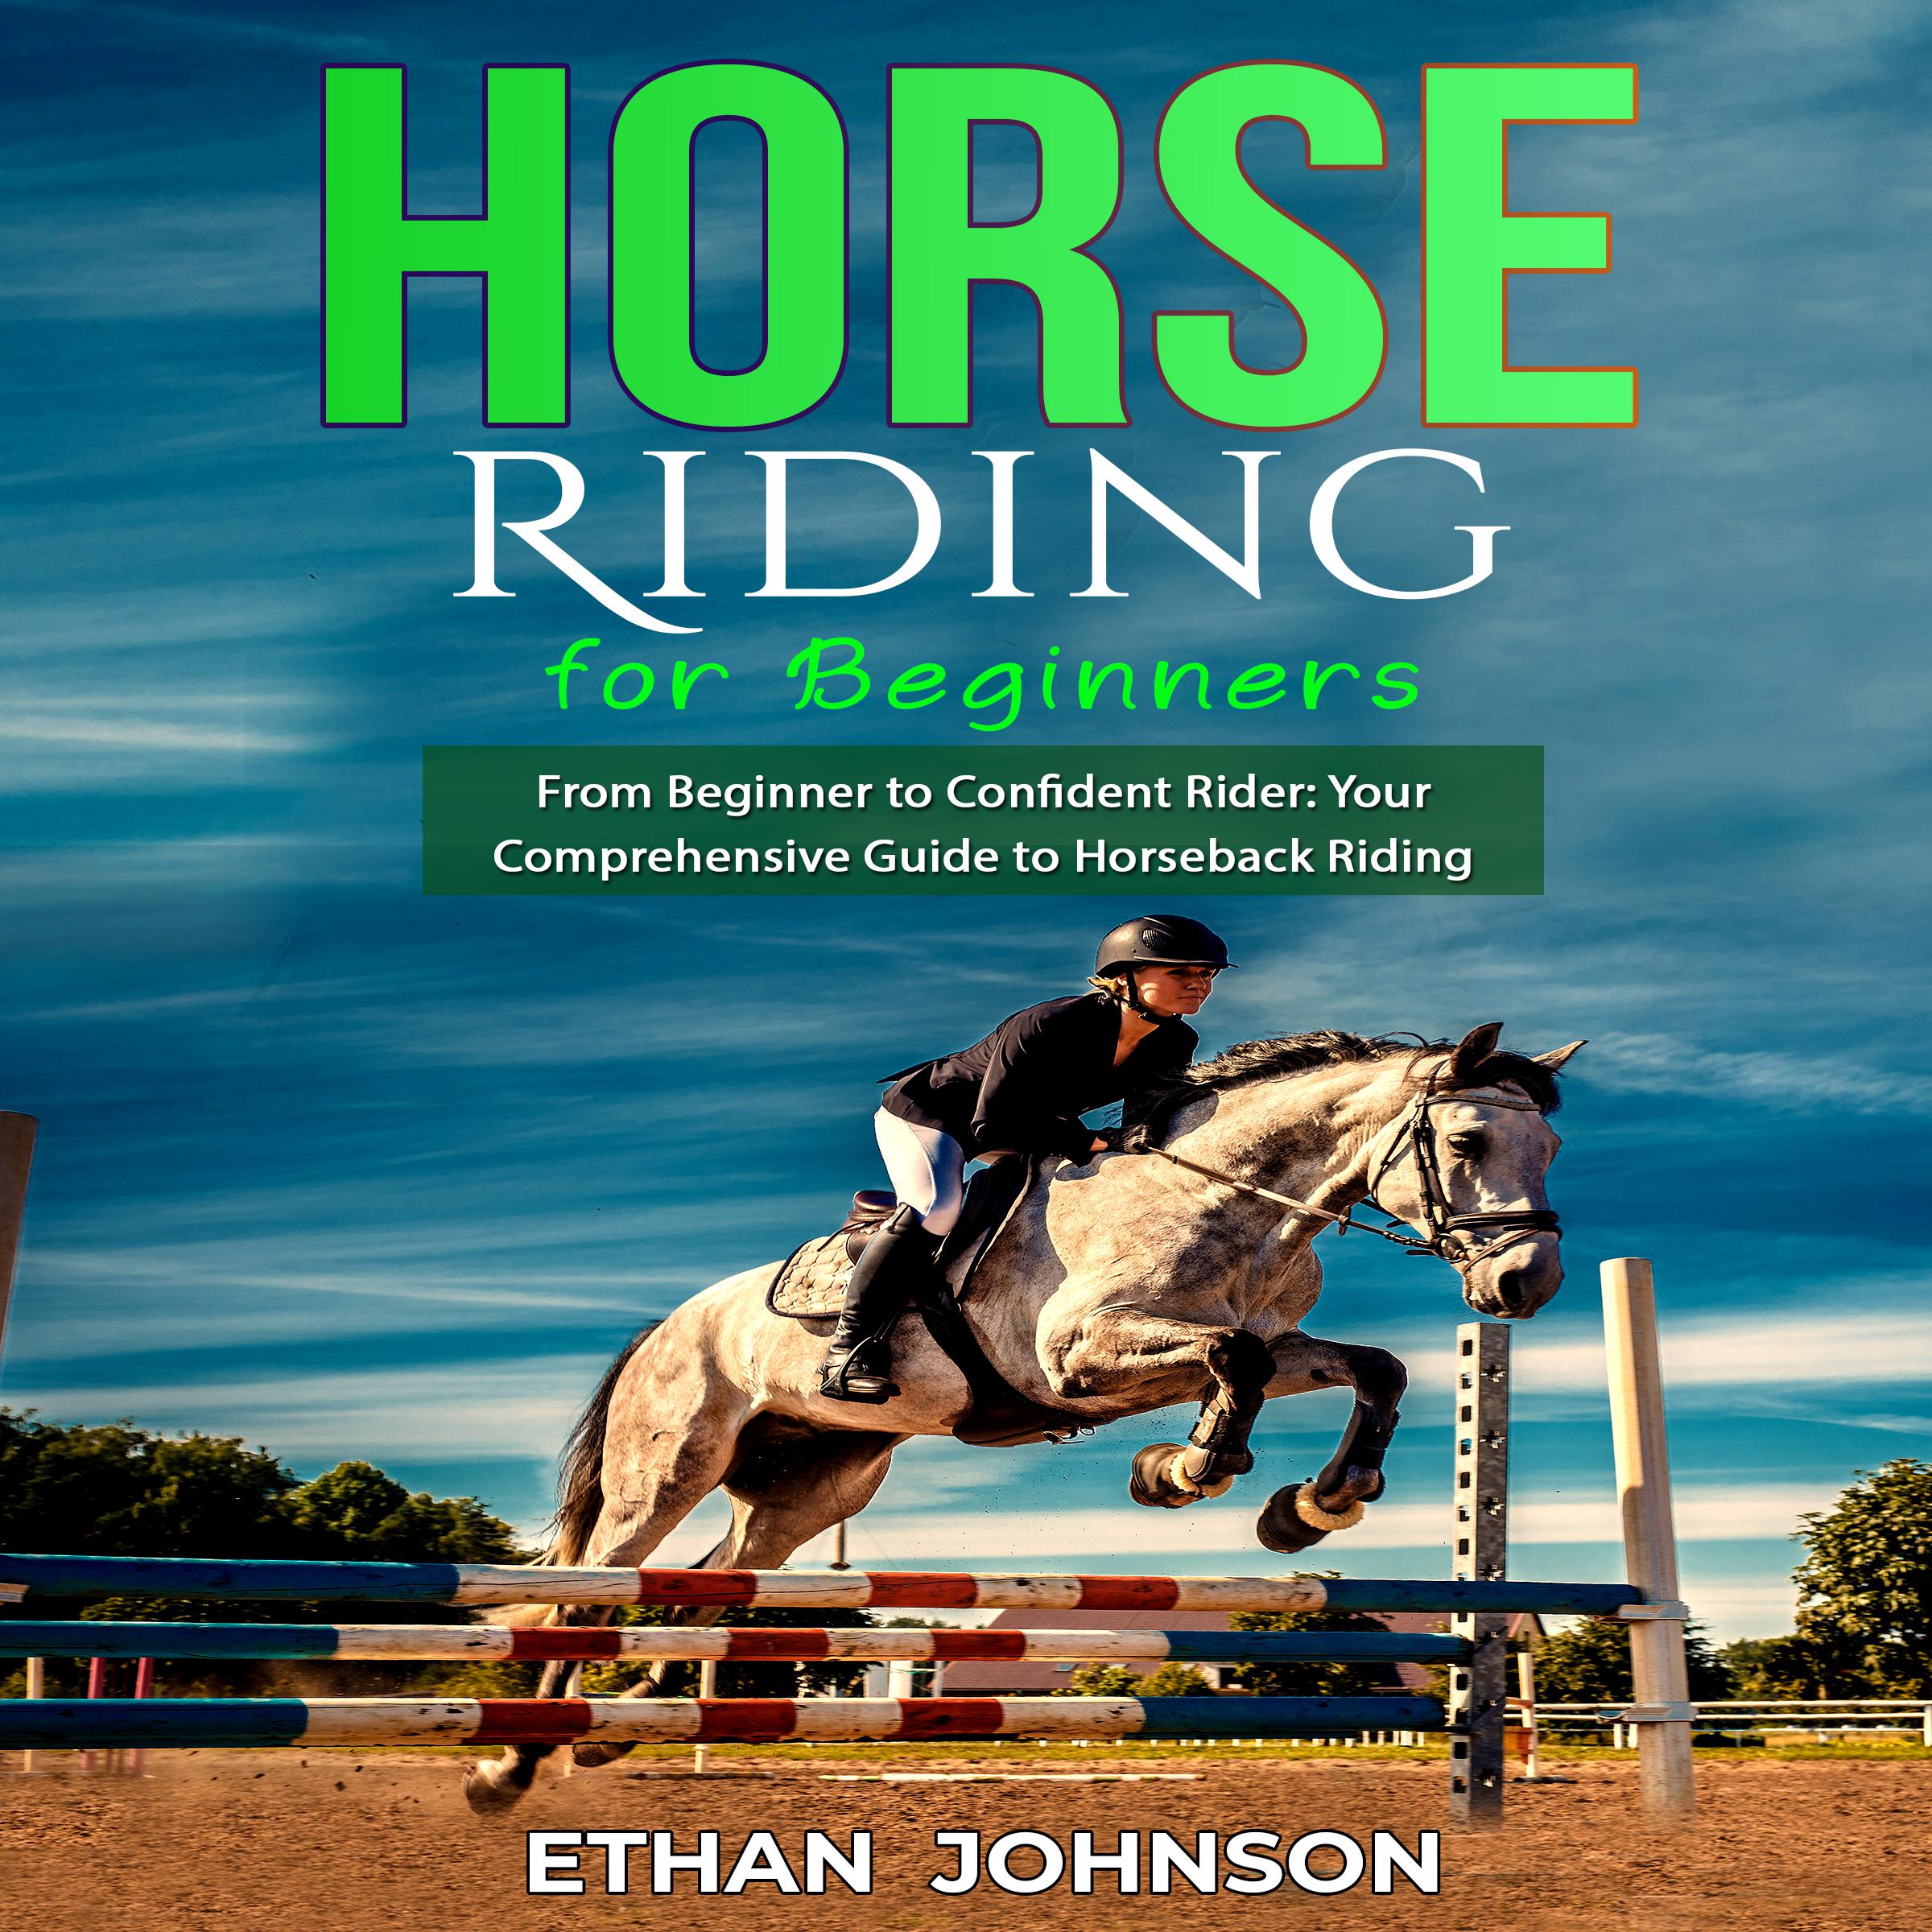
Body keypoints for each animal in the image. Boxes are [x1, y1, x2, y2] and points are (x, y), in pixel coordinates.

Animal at [463, 1019, 1580, 1809]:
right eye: (1469, 1136)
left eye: (1553, 1144)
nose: (1527, 1284)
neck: (1234, 1206)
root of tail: (667, 1324)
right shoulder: (1075, 1354)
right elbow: (1238, 1360)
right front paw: (1189, 1470)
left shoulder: (1235, 1343)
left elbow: (1360, 1367)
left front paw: (1309, 1507)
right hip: (668, 1468)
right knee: (590, 1595)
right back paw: (512, 1765)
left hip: (807, 1491)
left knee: (708, 1587)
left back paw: (616, 1728)